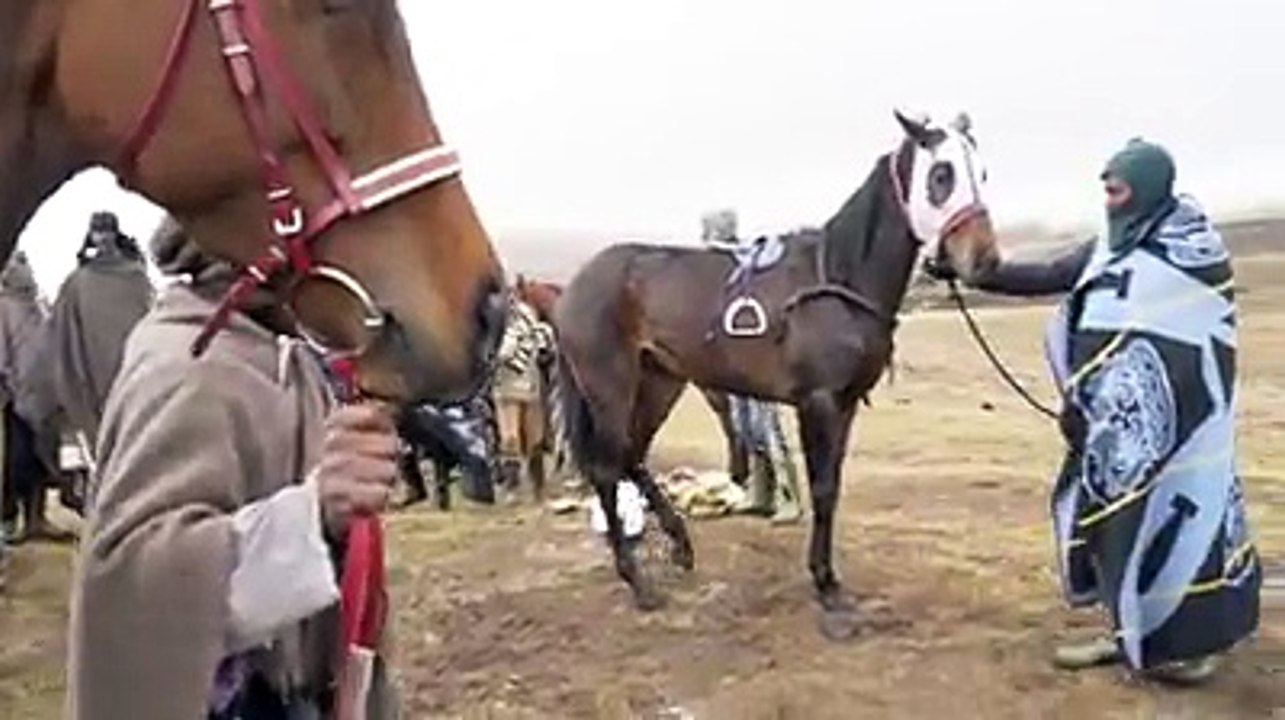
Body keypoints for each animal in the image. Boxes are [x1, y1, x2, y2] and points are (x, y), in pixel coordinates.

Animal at [555, 111, 1001, 636]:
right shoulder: (818, 402)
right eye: (941, 176)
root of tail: (574, 284)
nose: (985, 260)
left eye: (982, 173)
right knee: (608, 469)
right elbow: (823, 489)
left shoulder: (845, 404)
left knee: (632, 456)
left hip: (661, 382)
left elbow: (832, 489)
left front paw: (828, 579)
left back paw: (681, 547)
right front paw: (826, 587)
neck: (836, 279)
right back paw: (638, 582)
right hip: (610, 387)